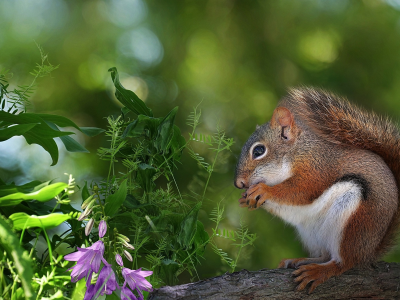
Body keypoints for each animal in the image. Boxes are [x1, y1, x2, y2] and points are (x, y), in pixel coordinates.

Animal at [234, 86, 400, 292]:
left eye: (258, 151)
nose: (238, 183)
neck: (297, 151)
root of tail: (369, 252)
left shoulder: (317, 168)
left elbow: (303, 190)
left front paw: (264, 190)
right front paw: (245, 198)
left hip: (354, 222)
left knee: (344, 262)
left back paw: (319, 271)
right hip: (311, 233)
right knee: (325, 254)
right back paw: (300, 260)